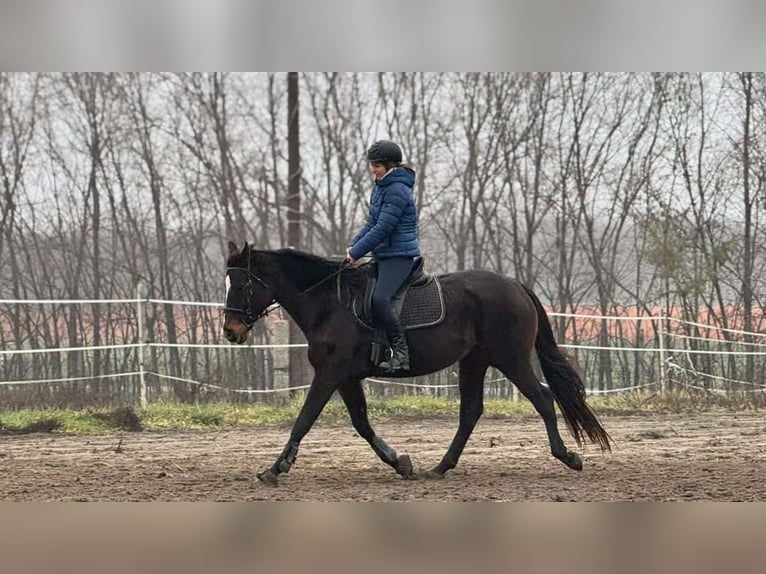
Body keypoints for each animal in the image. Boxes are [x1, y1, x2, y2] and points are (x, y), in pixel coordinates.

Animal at [222, 243, 612, 486]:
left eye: (241, 283)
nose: (230, 331)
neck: (329, 303)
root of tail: (515, 285)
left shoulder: (330, 374)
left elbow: (303, 421)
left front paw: (275, 469)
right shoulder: (345, 378)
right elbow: (361, 424)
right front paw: (401, 463)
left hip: (510, 359)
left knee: (542, 398)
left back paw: (567, 456)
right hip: (475, 361)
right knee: (471, 411)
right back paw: (439, 468)